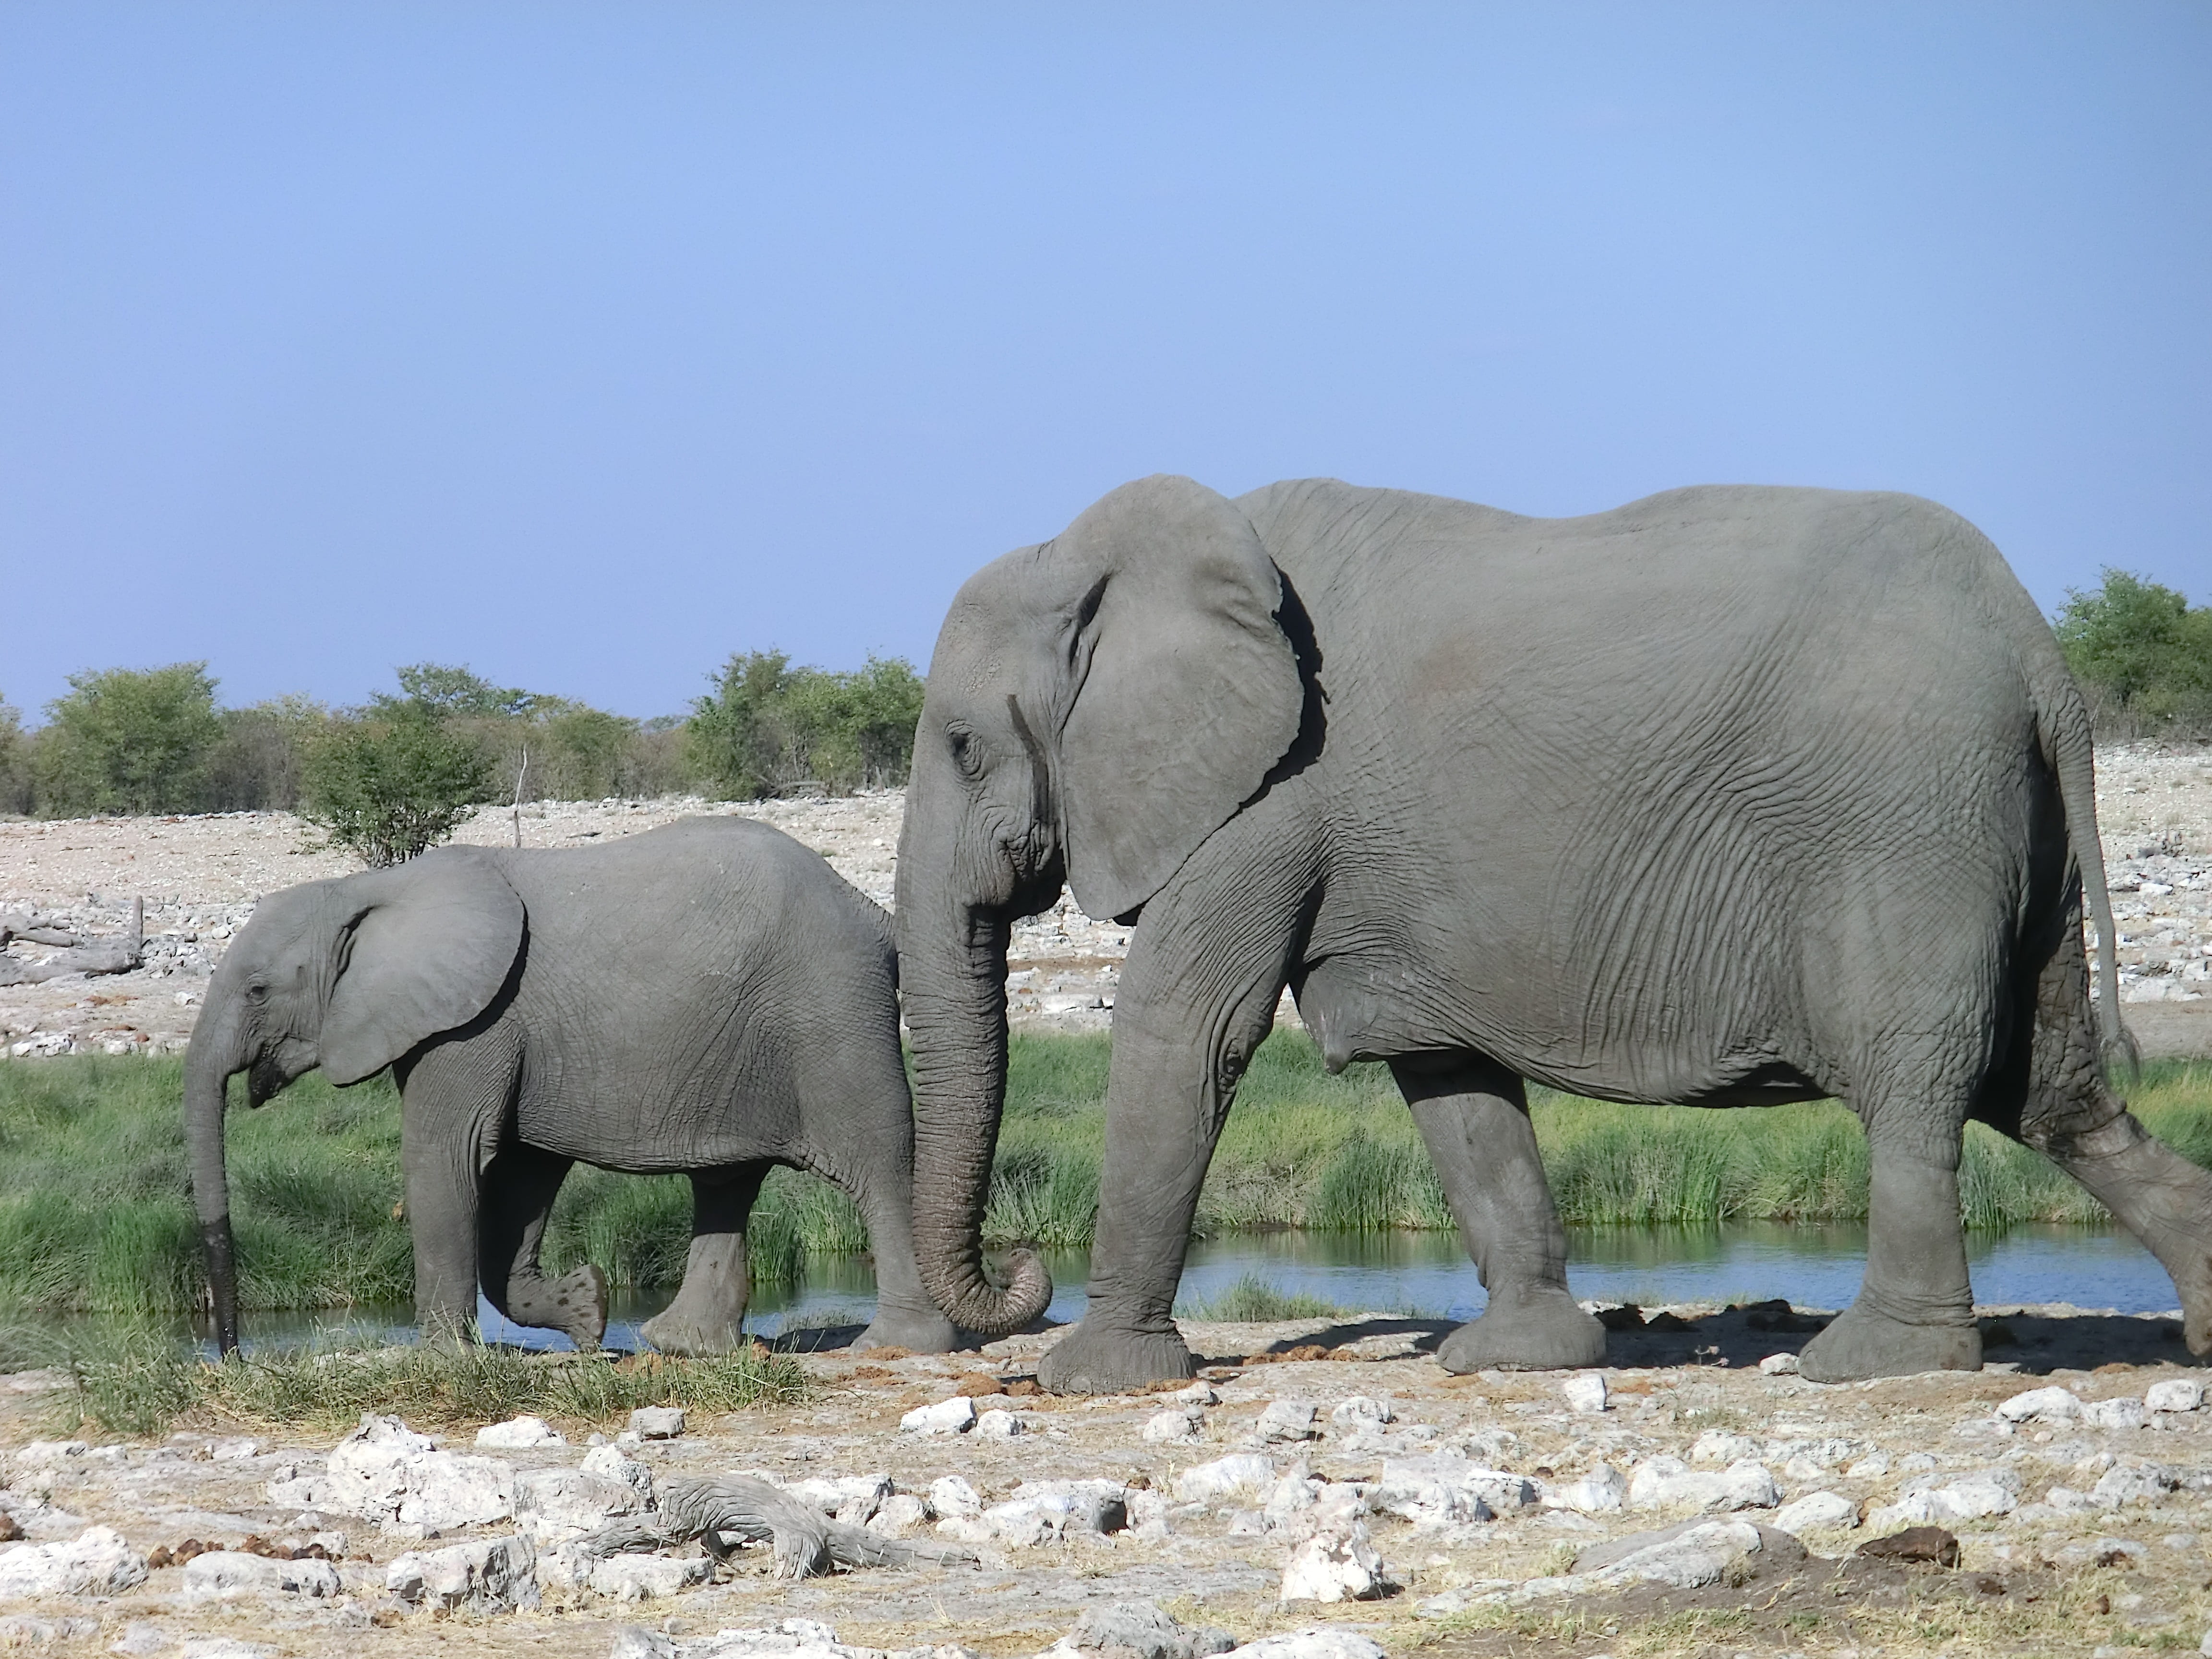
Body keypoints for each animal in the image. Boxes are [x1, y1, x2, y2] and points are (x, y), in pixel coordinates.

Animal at [185, 816, 958, 1358]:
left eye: (258, 991)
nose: (233, 1355)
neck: (366, 889)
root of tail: (872, 913)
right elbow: (520, 1180)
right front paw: (589, 1310)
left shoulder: (474, 1022)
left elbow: (448, 1158)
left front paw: (446, 1358)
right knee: (727, 1182)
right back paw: (681, 1346)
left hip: (833, 1012)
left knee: (877, 1160)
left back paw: (901, 1344)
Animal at [894, 473, 2209, 1392]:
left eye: (962, 745)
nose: (1023, 1273)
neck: (1106, 562)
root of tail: (2039, 651)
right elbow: (1445, 1078)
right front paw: (1518, 1357)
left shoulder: (1269, 797)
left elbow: (1184, 1032)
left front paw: (1089, 1377)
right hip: (2002, 827)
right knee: (2052, 1092)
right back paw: (2198, 1324)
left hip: (1906, 823)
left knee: (1919, 1084)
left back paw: (1872, 1363)